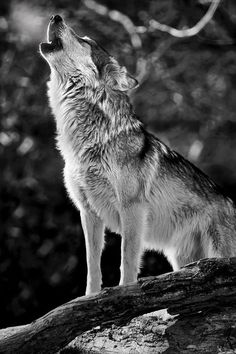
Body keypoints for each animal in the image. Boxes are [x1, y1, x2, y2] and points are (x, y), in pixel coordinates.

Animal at [39, 14, 236, 296]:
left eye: (85, 41)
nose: (56, 16)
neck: (90, 141)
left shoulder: (132, 207)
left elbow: (128, 258)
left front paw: (126, 293)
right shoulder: (88, 212)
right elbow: (92, 264)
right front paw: (91, 298)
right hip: (182, 260)